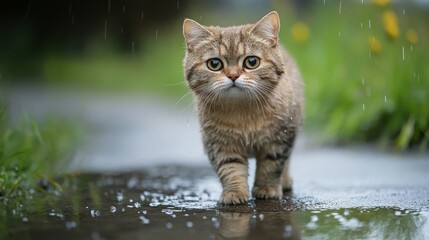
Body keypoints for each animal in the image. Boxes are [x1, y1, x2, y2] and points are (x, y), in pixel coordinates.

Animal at [182, 10, 302, 203]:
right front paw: (234, 192)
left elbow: (271, 166)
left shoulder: (280, 138)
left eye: (251, 62)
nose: (233, 76)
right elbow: (231, 168)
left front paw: (267, 188)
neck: (243, 111)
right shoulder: (221, 144)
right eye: (214, 64)